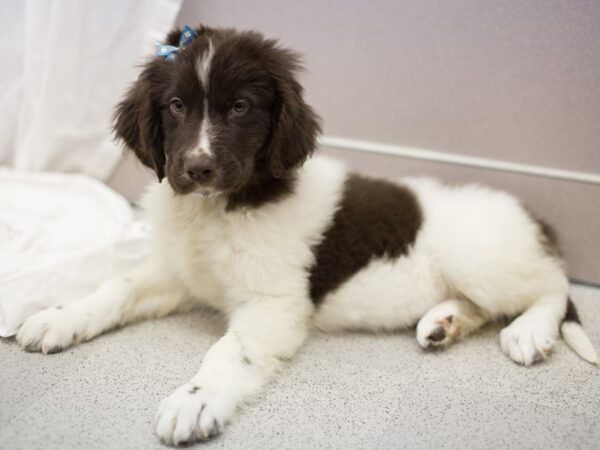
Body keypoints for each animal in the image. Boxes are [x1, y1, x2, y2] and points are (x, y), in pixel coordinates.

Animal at [16, 23, 596, 442]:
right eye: (176, 106)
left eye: (241, 107)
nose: (198, 168)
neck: (218, 210)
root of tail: (530, 217)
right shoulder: (181, 274)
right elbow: (116, 286)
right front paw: (58, 316)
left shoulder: (273, 302)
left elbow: (229, 351)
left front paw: (194, 400)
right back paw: (444, 323)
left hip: (476, 253)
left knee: (553, 286)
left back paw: (528, 331)